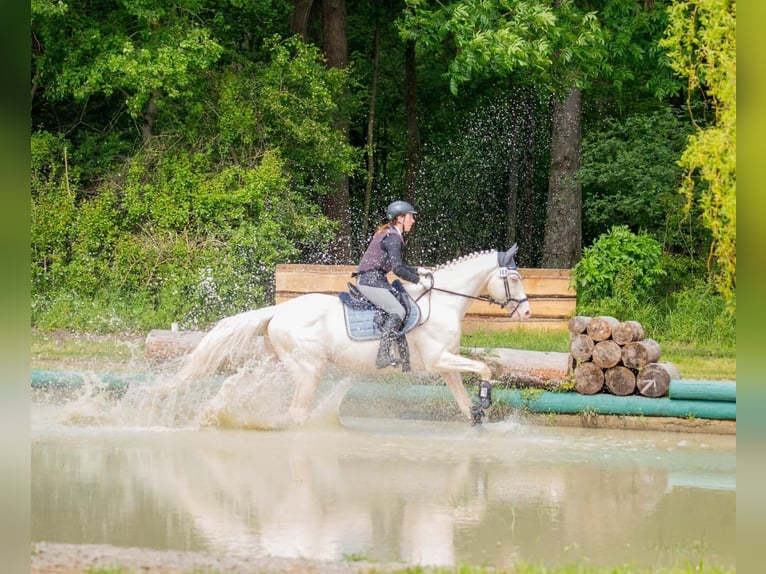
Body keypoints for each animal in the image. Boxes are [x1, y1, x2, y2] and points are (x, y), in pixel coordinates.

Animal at [176, 245, 532, 426]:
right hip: (307, 370)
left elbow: (463, 401)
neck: (442, 301)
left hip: (275, 363)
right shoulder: (438, 360)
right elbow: (484, 368)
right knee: (295, 413)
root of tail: (276, 311)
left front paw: (478, 412)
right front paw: (485, 399)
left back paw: (212, 415)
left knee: (232, 384)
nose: (527, 314)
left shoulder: (446, 365)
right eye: (514, 278)